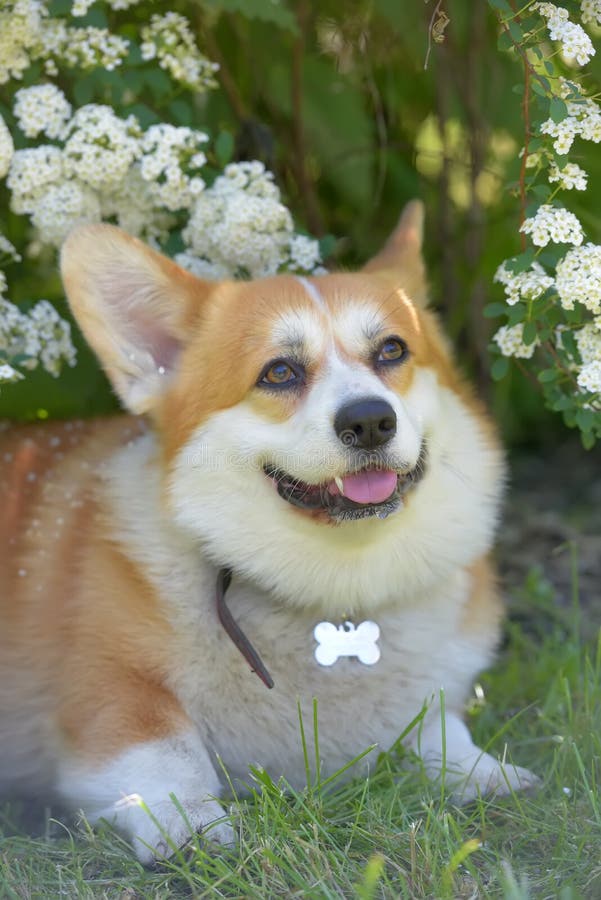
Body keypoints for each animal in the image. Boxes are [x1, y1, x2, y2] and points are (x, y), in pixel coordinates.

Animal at [0, 200, 536, 860]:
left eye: (391, 350)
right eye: (279, 372)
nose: (370, 421)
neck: (334, 591)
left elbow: (440, 729)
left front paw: (483, 772)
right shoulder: (108, 692)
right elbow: (166, 750)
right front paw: (192, 820)